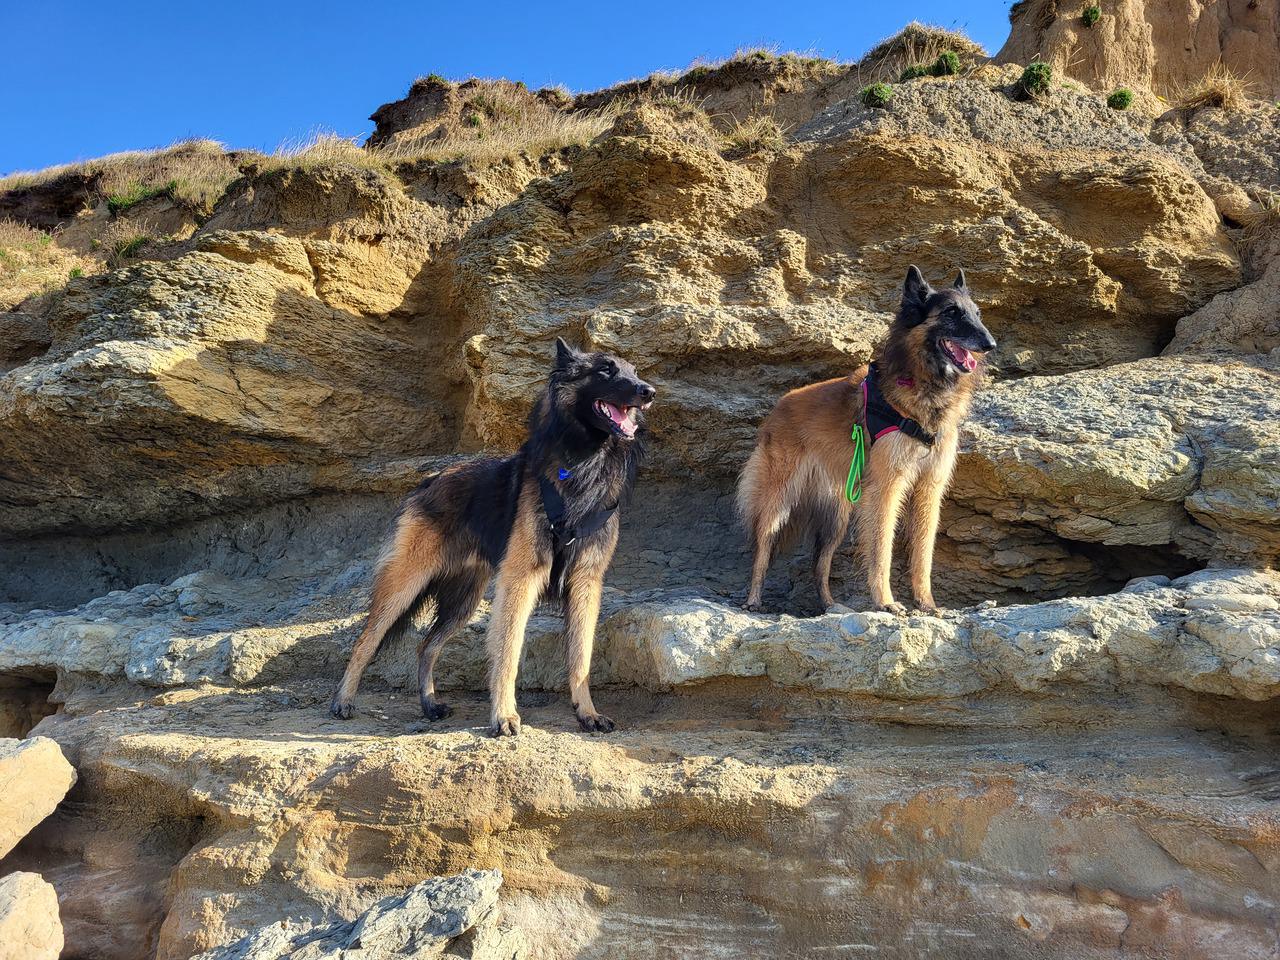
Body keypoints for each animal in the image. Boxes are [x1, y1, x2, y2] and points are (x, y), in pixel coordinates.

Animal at [737, 268, 993, 616]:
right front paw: (885, 602)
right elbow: (882, 548)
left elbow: (923, 554)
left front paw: (926, 603)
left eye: (976, 314)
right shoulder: (886, 488)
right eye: (951, 312)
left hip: (837, 517)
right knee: (762, 547)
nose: (990, 344)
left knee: (820, 563)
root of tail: (778, 408)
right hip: (779, 500)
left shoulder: (929, 488)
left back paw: (830, 605)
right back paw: (753, 600)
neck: (922, 385)